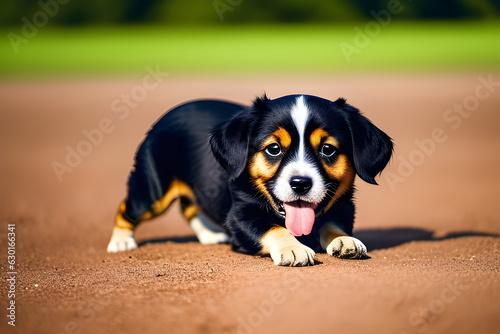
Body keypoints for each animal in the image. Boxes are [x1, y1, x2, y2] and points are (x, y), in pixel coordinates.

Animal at [107, 94, 392, 266]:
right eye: (273, 149)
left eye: (328, 149)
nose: (300, 183)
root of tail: (163, 118)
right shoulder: (240, 217)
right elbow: (273, 228)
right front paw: (293, 248)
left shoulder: (343, 207)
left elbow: (331, 223)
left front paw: (345, 241)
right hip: (152, 190)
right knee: (126, 208)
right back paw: (121, 242)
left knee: (189, 207)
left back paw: (209, 235)